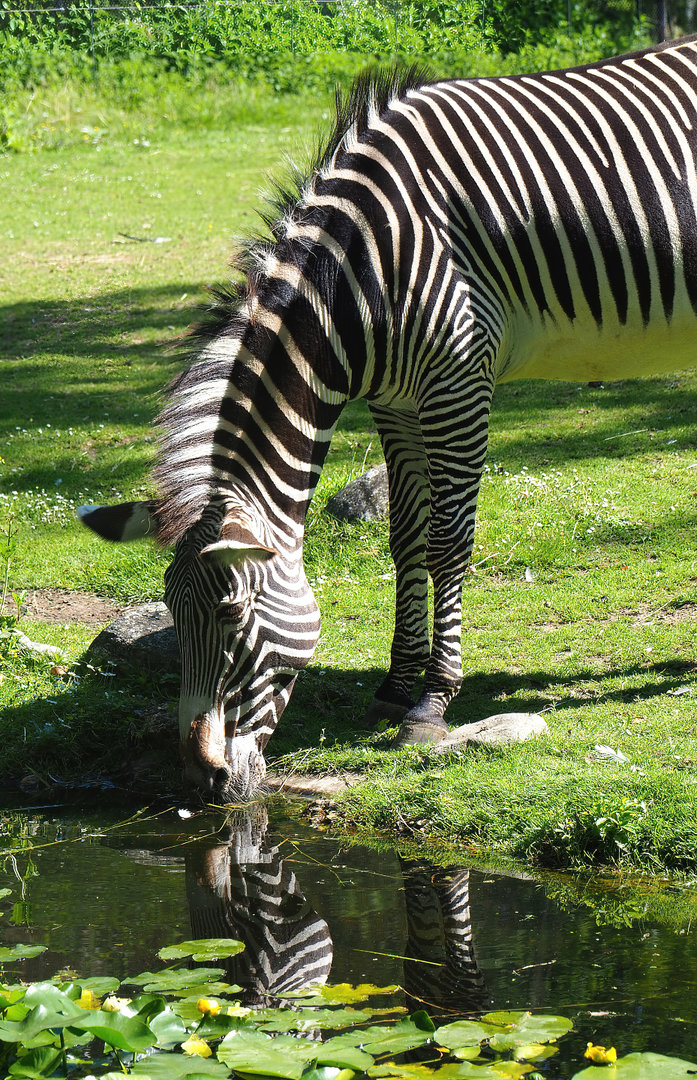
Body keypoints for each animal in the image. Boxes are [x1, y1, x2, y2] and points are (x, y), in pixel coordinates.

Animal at [81, 33, 697, 801]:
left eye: (229, 614)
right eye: (169, 612)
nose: (205, 776)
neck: (363, 274)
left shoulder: (458, 383)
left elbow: (448, 543)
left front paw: (431, 703)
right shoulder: (396, 402)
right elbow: (405, 540)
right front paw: (394, 686)